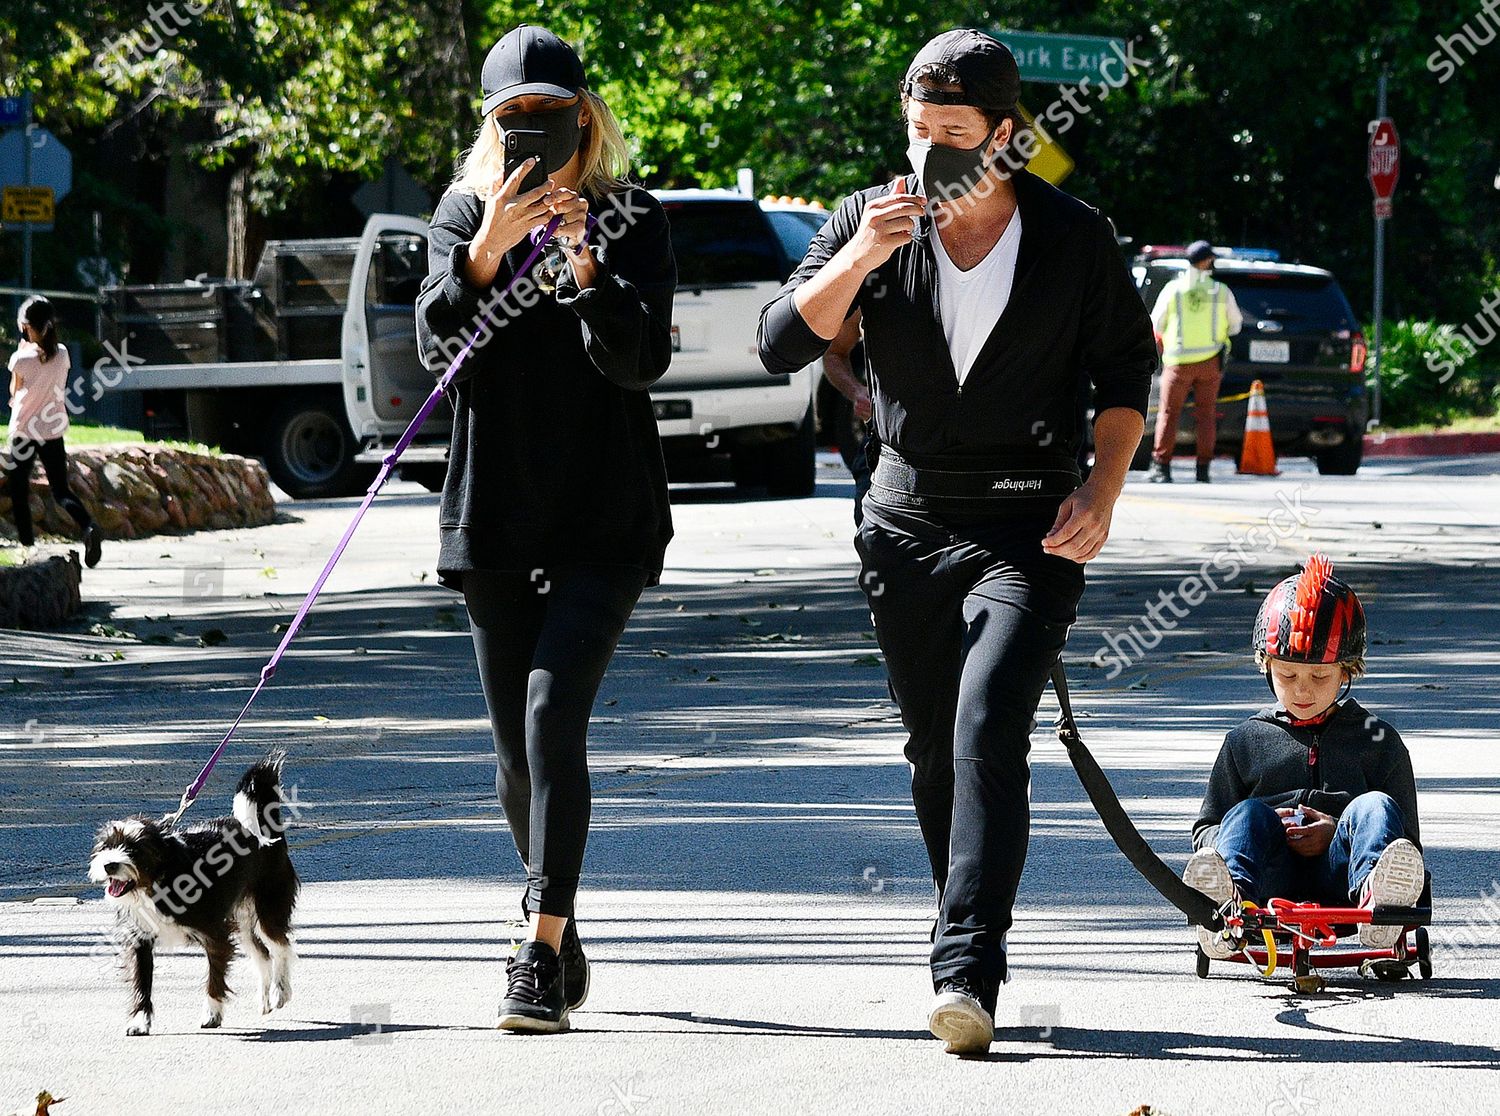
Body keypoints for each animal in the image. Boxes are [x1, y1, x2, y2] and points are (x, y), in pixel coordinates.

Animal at [87, 753, 301, 1032]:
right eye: (106, 846)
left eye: (135, 849)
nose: (109, 864)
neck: (162, 878)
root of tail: (266, 831)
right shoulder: (139, 940)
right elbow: (142, 983)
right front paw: (140, 1020)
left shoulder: (216, 936)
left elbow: (215, 979)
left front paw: (212, 1014)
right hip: (242, 921)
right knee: (262, 955)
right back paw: (265, 1000)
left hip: (268, 911)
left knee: (281, 946)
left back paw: (280, 993)